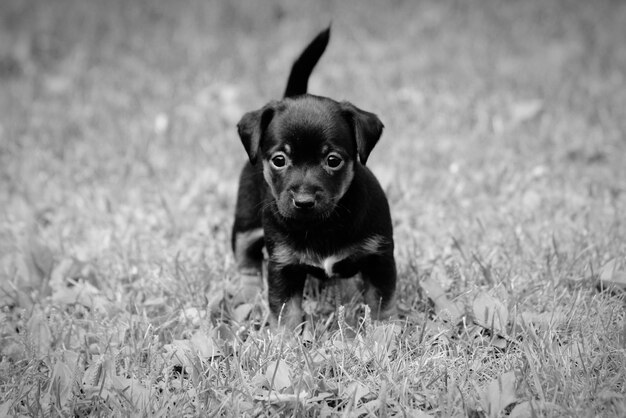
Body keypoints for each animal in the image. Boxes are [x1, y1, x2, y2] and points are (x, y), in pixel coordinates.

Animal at [229, 28, 394, 330]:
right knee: (246, 259)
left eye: (333, 160)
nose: (304, 201)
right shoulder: (283, 265)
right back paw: (246, 295)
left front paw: (383, 335)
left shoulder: (380, 257)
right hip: (245, 221)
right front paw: (286, 340)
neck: (322, 225)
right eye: (279, 160)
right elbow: (286, 311)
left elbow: (380, 305)